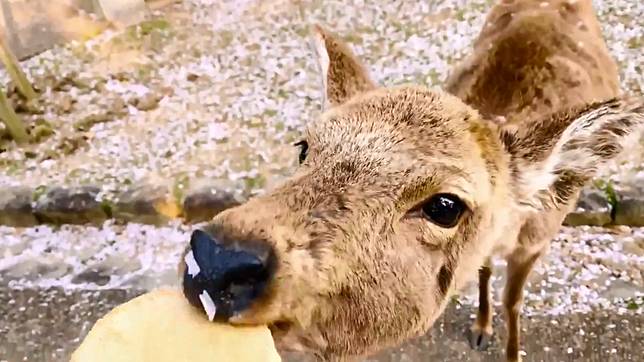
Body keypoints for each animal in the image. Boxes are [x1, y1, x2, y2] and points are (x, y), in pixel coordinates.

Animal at [179, 0, 640, 362]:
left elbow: (514, 300)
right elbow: (487, 270)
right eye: (304, 147)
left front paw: (509, 350)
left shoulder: (538, 239)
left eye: (445, 205)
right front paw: (482, 329)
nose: (217, 258)